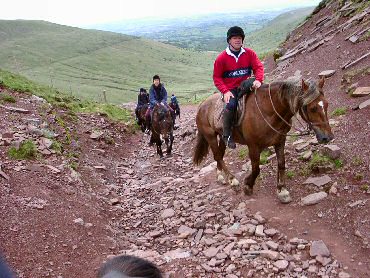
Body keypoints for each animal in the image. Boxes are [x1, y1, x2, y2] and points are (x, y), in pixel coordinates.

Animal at [192, 77, 334, 203]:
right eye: (312, 108)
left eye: (326, 104)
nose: (328, 137)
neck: (268, 111)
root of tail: (202, 105)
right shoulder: (253, 146)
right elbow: (256, 169)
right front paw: (248, 185)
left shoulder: (280, 141)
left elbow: (281, 164)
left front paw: (282, 190)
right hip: (210, 136)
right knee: (217, 155)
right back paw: (233, 180)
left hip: (223, 137)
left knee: (219, 155)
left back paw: (221, 176)